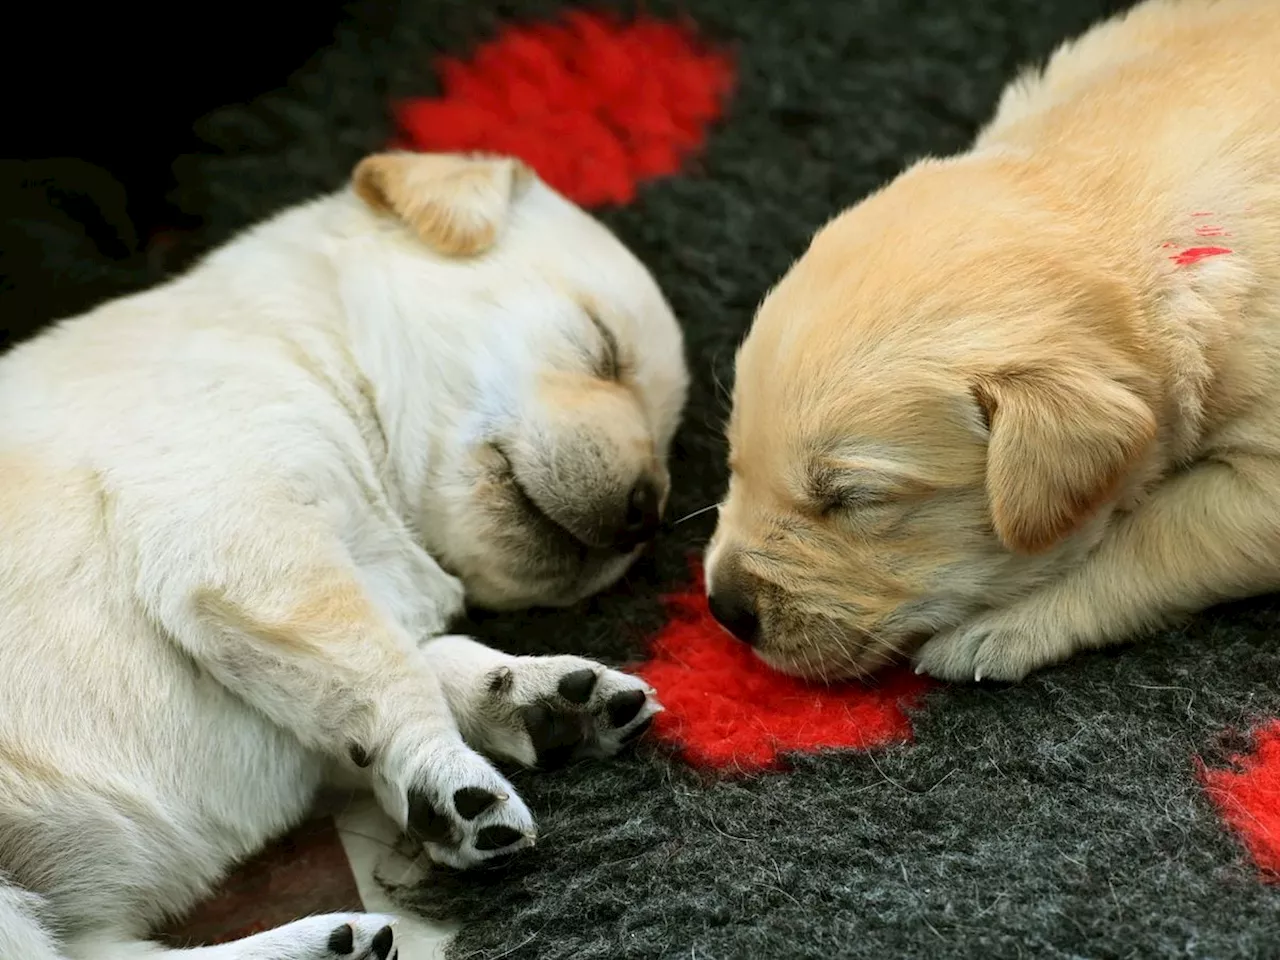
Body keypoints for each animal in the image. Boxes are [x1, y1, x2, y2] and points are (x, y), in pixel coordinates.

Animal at [0, 150, 691, 960]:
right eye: (600, 349)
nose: (647, 514)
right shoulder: (246, 529)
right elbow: (391, 667)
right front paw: (445, 769)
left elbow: (411, 663)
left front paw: (533, 692)